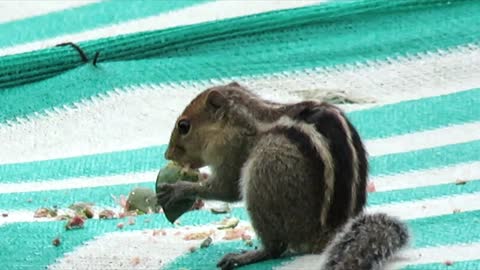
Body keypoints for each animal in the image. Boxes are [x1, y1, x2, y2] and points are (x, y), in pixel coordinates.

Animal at [158, 82, 408, 270]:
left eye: (184, 126)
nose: (167, 154)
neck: (244, 118)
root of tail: (327, 235)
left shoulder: (232, 151)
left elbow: (227, 189)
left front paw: (177, 189)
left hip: (263, 176)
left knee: (275, 248)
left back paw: (243, 257)